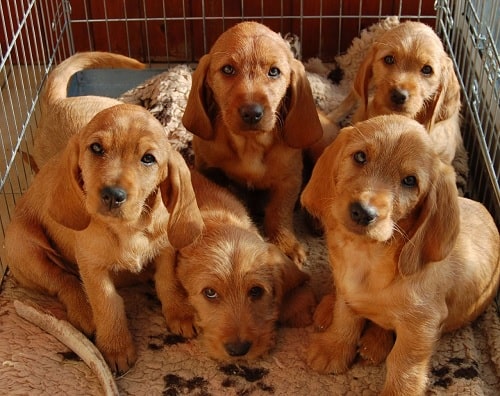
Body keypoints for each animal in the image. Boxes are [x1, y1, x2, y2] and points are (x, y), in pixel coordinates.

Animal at [4, 103, 204, 376]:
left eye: (148, 158)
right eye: (97, 148)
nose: (112, 195)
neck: (128, 228)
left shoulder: (165, 249)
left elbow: (167, 281)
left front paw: (180, 312)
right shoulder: (92, 266)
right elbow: (107, 304)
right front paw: (116, 347)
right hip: (22, 245)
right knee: (62, 279)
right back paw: (84, 311)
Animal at [156, 169, 314, 360]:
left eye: (256, 291)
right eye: (210, 293)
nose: (238, 350)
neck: (215, 221)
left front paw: (298, 307)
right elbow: (166, 275)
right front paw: (180, 313)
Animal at [184, 20, 324, 264]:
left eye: (274, 71)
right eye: (228, 69)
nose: (252, 113)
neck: (250, 144)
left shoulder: (289, 180)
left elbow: (279, 212)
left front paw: (285, 244)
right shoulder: (209, 169)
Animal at [300, 114, 500, 396]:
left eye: (410, 181)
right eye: (360, 157)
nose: (363, 212)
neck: (368, 257)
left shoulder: (422, 325)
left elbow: (403, 364)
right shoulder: (348, 292)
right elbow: (345, 318)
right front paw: (334, 347)